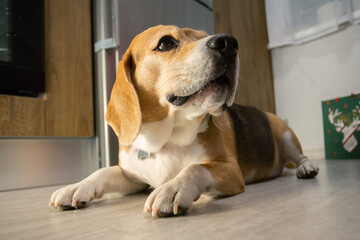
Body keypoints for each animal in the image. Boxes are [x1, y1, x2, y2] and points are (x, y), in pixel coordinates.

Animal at [49, 25, 320, 217]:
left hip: (286, 136)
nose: (230, 43)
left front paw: (172, 188)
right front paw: (76, 187)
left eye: (204, 35)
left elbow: (195, 167)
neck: (165, 141)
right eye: (165, 42)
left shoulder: (230, 170)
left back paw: (307, 168)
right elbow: (103, 171)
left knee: (301, 156)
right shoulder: (133, 176)